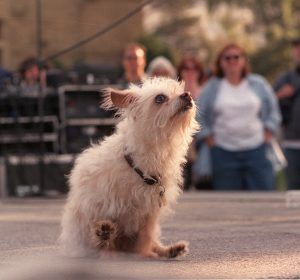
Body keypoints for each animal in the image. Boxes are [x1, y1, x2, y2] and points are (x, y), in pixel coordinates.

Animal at [59, 76, 198, 258]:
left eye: (181, 90)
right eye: (160, 98)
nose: (187, 95)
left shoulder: (149, 215)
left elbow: (145, 239)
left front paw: (146, 253)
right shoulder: (93, 206)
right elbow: (95, 231)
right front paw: (103, 238)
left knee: (151, 243)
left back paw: (170, 250)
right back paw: (104, 235)